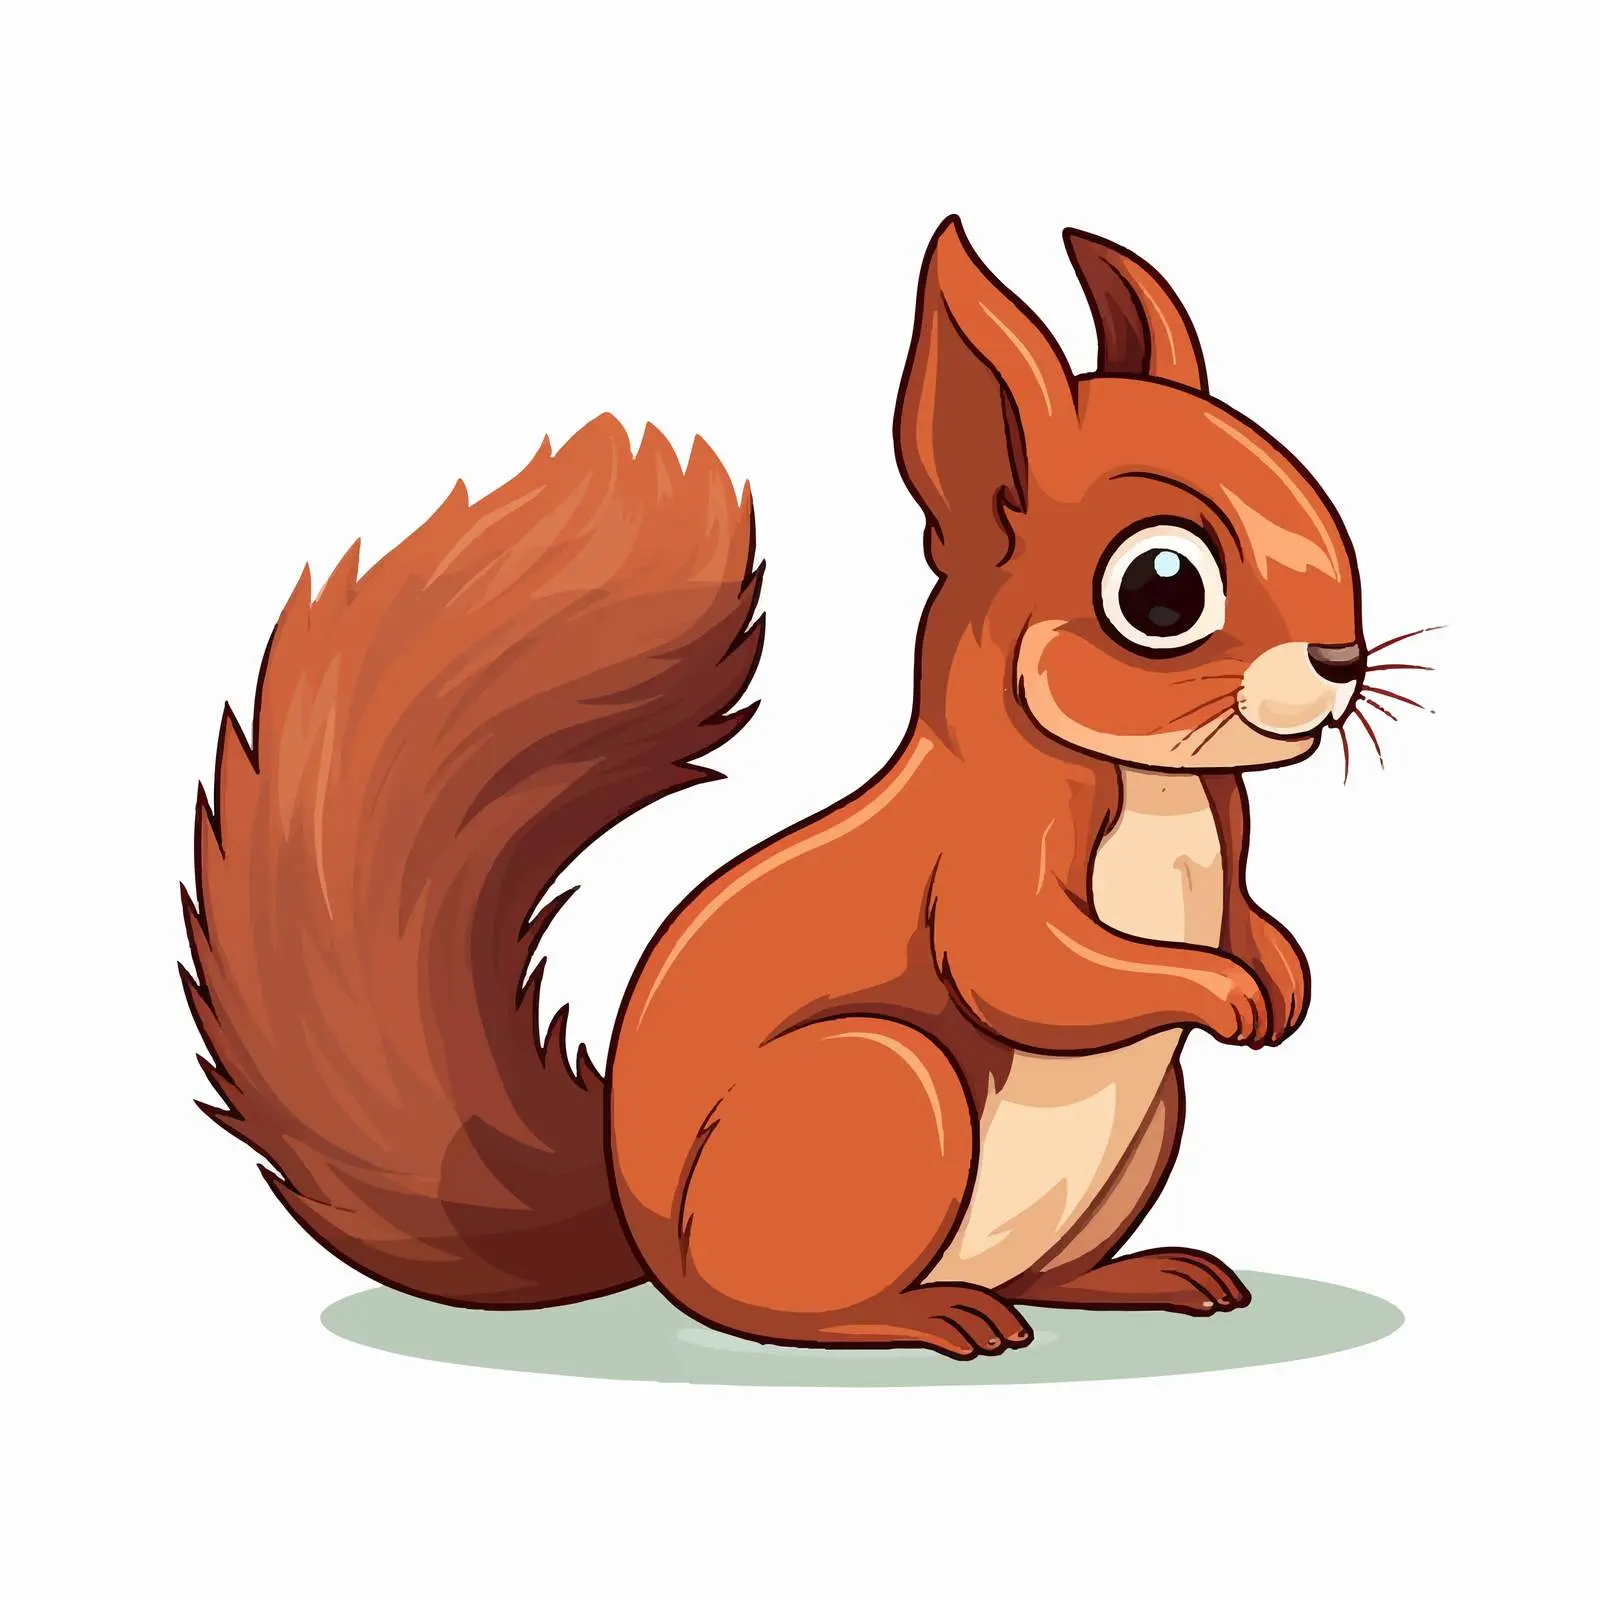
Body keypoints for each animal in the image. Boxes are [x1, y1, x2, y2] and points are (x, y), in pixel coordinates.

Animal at [183, 218, 1365, 1359]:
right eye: (1161, 589)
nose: (1343, 662)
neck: (1155, 783)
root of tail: (644, 1241)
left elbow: (1241, 910)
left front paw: (1280, 972)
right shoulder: (984, 859)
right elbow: (1027, 968)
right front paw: (1222, 988)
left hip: (1138, 1129)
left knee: (1040, 1274)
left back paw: (1135, 1276)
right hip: (879, 1088)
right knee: (764, 1306)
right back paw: (916, 1316)